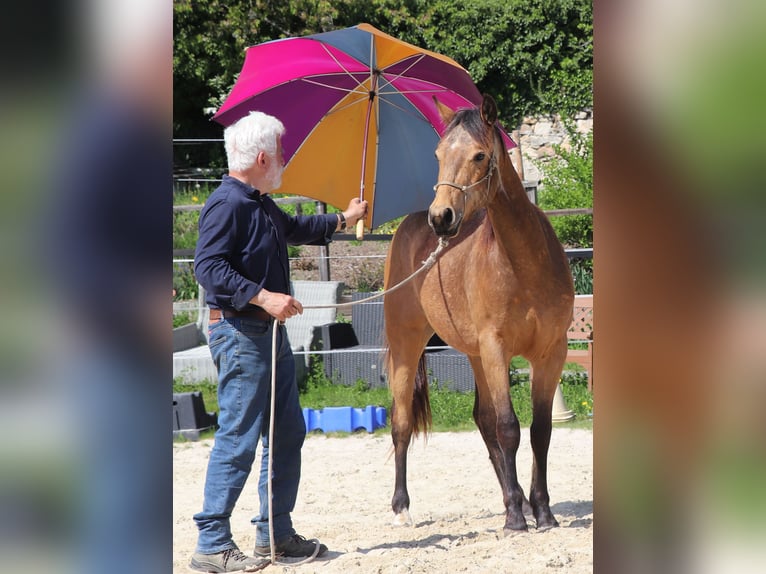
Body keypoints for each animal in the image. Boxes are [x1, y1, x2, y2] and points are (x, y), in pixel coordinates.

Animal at [383, 94, 574, 533]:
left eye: (479, 155)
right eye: (438, 154)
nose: (442, 217)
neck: (525, 265)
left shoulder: (551, 353)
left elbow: (540, 431)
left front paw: (541, 511)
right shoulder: (496, 349)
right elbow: (509, 428)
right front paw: (517, 519)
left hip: (473, 354)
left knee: (482, 420)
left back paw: (512, 499)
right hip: (407, 345)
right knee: (402, 422)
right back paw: (402, 508)